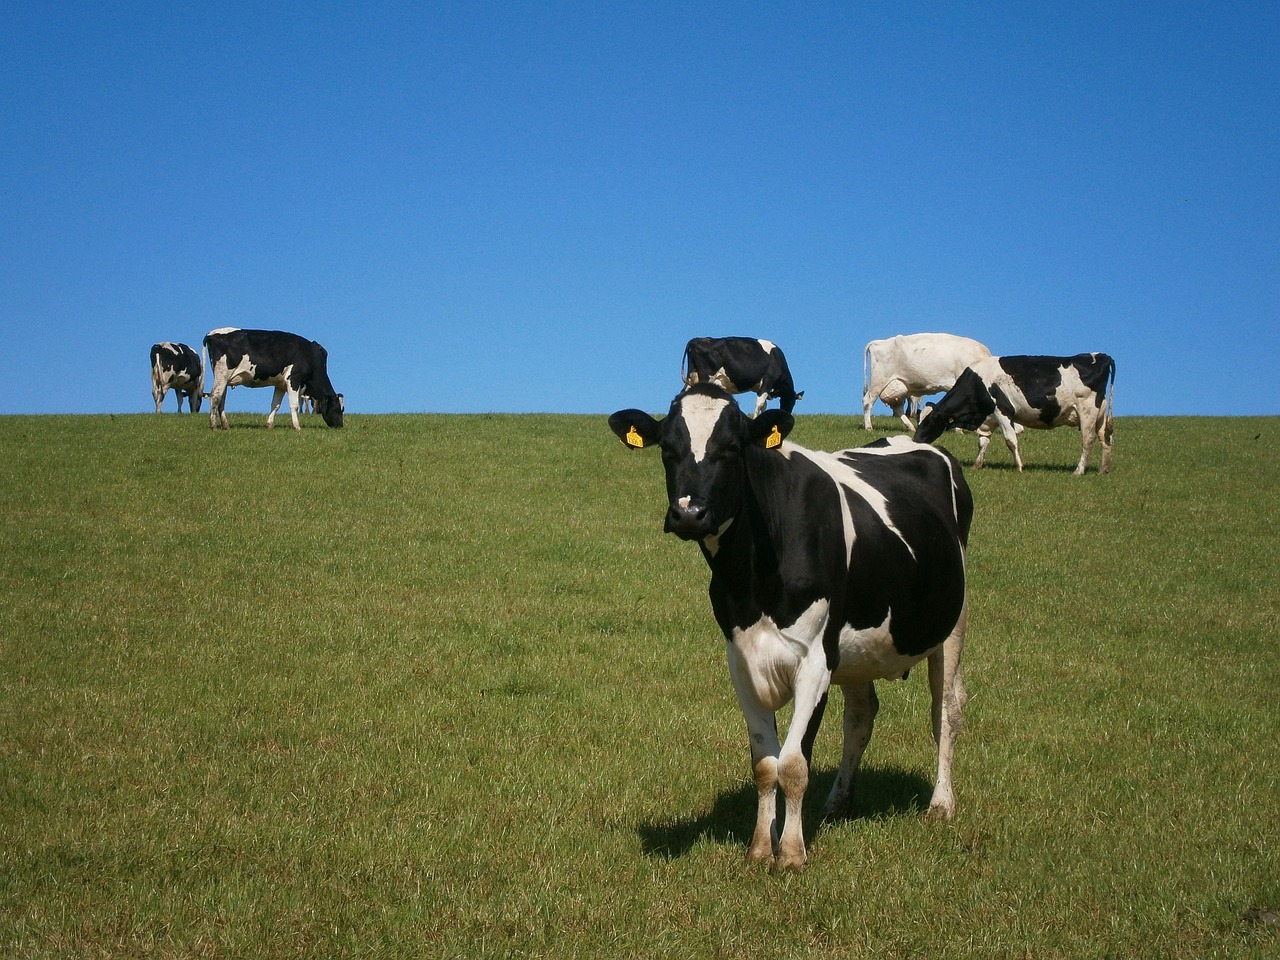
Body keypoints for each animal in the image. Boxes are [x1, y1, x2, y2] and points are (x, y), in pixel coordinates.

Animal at [200, 330, 343, 430]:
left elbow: (275, 404)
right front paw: (297, 426)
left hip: (224, 379)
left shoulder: (280, 384)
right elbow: (294, 404)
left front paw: (269, 424)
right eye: (337, 408)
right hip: (222, 375)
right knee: (215, 397)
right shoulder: (294, 379)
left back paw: (225, 425)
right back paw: (214, 426)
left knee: (221, 400)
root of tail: (212, 334)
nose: (340, 425)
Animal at [609, 381, 967, 870]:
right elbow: (765, 764)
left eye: (732, 448)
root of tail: (919, 442)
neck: (752, 577)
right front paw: (762, 847)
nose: (688, 514)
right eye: (667, 449)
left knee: (945, 711)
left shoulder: (814, 659)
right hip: (854, 649)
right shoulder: (742, 659)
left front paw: (793, 853)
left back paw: (941, 804)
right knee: (860, 717)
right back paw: (837, 803)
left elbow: (794, 764)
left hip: (950, 627)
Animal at [865, 335, 993, 432]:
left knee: (897, 407)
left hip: (899, 387)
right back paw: (869, 427)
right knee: (868, 401)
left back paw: (910, 427)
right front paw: (960, 430)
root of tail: (878, 342)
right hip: (879, 380)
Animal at [916, 350, 1116, 476]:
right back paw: (1103, 470)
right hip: (1100, 414)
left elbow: (1010, 440)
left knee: (1088, 440)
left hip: (1087, 410)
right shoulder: (988, 419)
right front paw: (976, 465)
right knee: (1105, 439)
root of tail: (1101, 356)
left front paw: (1019, 467)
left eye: (928, 422)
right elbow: (983, 442)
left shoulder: (1003, 411)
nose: (915, 440)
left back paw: (1079, 471)